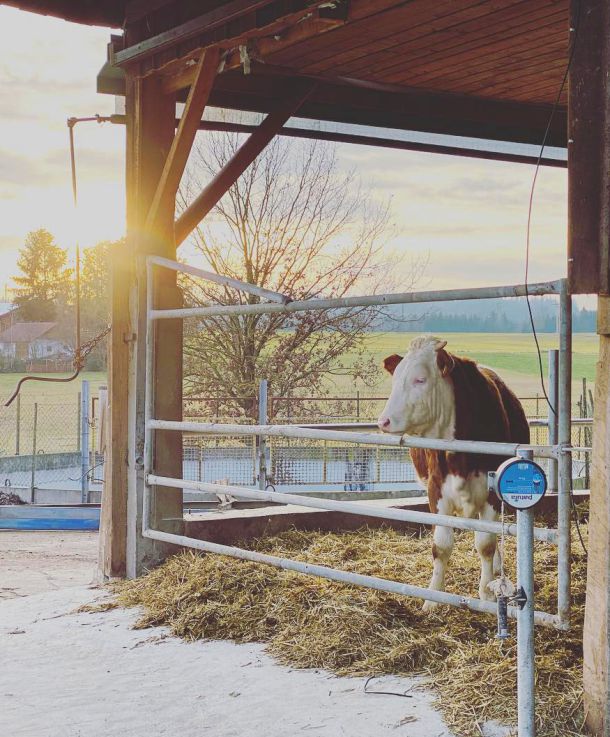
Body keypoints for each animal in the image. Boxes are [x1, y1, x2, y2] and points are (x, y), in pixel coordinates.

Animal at [376, 334, 528, 608]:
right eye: (396, 377)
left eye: (420, 379)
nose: (384, 421)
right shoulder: (436, 491)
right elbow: (441, 546)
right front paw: (433, 597)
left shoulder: (491, 493)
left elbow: (486, 543)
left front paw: (486, 593)